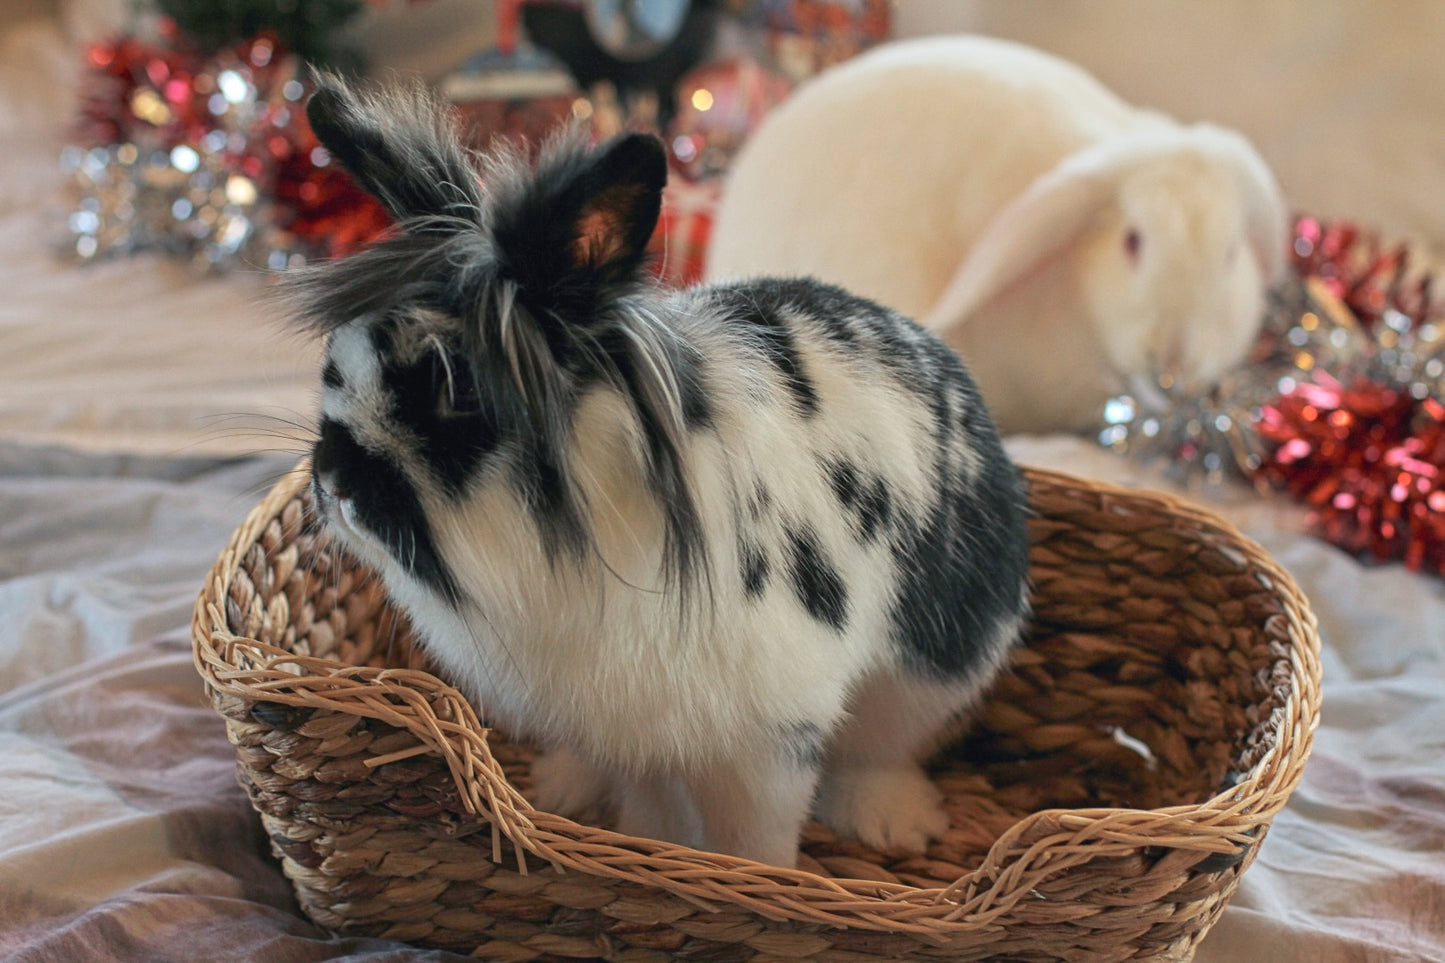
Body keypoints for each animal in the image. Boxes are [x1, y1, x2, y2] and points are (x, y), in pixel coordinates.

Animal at [299, 75, 1034, 867]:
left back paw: (894, 823)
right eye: (334, 363)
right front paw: (652, 850)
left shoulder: (767, 744)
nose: (333, 485)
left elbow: (754, 832)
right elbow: (654, 807)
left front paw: (750, 876)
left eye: (456, 395)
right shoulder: (637, 734)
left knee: (880, 749)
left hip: (931, 672)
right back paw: (564, 784)